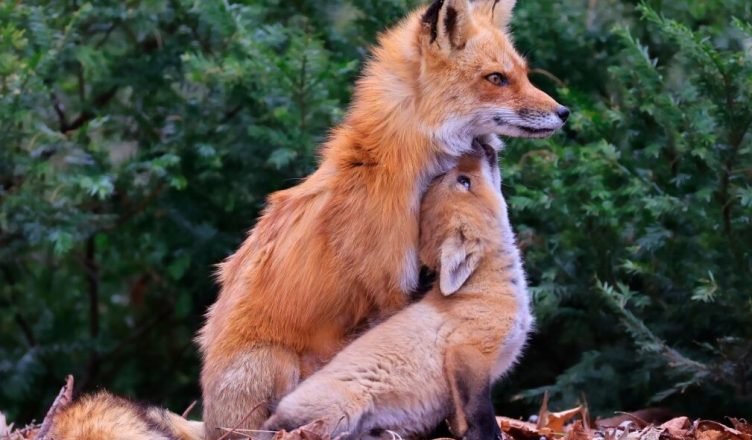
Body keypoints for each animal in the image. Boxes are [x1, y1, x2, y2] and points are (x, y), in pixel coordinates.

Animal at [197, 0, 568, 434]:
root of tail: (211, 420)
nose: (564, 112)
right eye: (496, 78)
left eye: (524, 74)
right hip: (276, 364)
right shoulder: (389, 291)